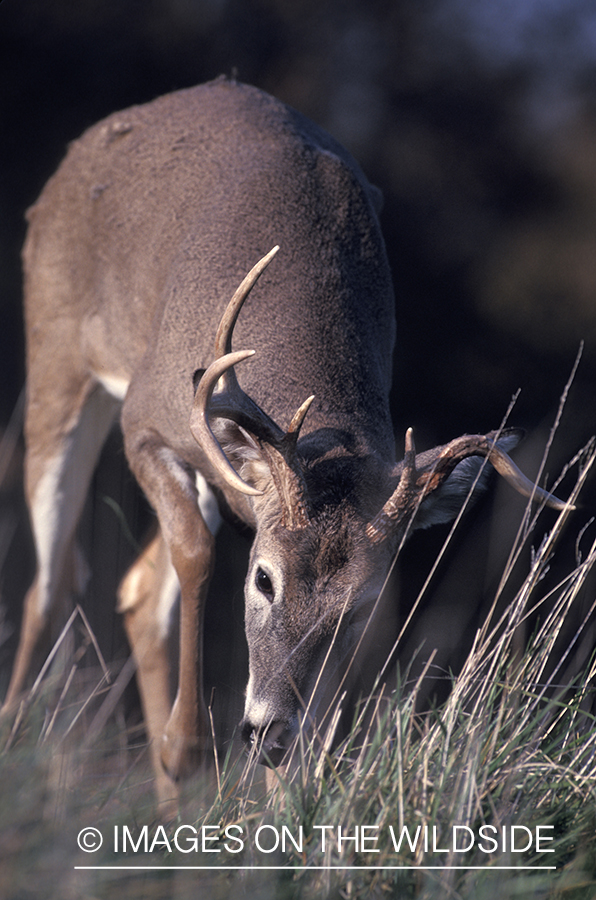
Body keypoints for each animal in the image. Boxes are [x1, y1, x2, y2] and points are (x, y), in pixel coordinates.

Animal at [1, 79, 568, 808]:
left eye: (360, 606)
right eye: (263, 579)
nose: (267, 732)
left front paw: (275, 796)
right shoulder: (147, 421)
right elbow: (194, 551)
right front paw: (188, 746)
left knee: (132, 587)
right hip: (57, 359)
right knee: (51, 582)